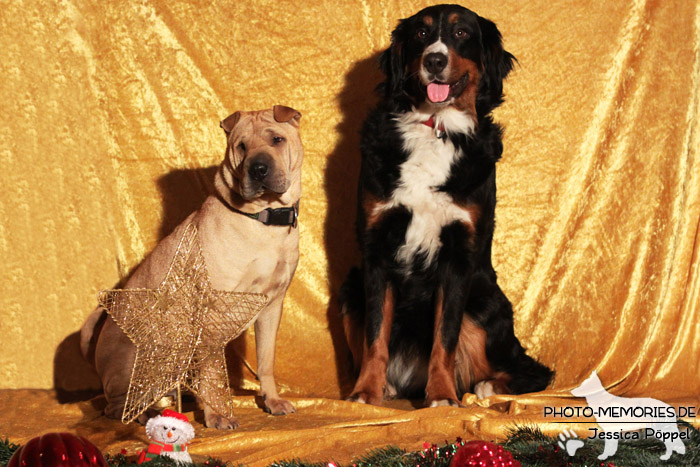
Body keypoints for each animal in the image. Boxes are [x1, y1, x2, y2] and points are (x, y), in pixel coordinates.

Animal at [342, 3, 556, 408]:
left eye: (461, 33)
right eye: (421, 34)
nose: (435, 60)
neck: (435, 127)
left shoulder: (458, 256)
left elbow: (446, 337)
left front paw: (441, 396)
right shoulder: (376, 246)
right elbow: (375, 334)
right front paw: (366, 391)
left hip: (483, 303)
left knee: (533, 372)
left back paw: (487, 387)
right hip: (349, 286)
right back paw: (390, 386)